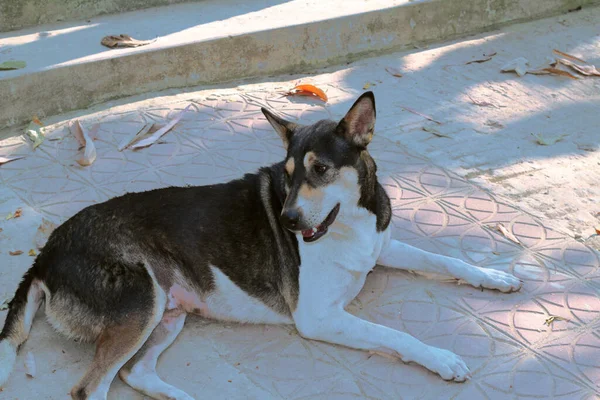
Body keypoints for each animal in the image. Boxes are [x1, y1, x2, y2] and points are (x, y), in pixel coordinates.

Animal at [0, 93, 520, 400]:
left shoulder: (382, 245)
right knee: (92, 388)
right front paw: (442, 359)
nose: (286, 221)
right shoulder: (318, 317)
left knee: (135, 373)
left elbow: (444, 259)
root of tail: (46, 254)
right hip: (143, 303)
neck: (350, 223)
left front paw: (495, 276)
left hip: (167, 310)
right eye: (287, 175)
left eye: (320, 170)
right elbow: (396, 336)